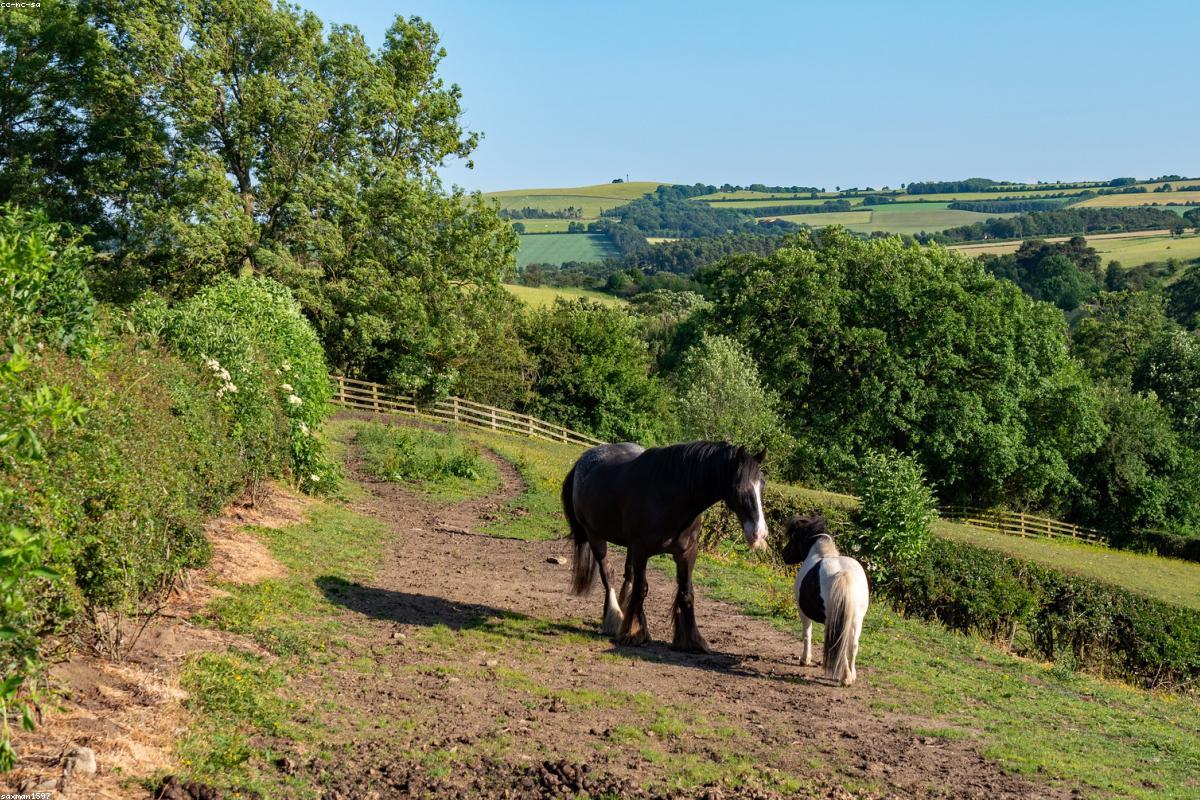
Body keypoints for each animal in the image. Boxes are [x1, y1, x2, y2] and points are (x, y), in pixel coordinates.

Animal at [561, 442, 768, 652]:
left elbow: (686, 593)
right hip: (595, 536)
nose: (759, 534)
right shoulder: (641, 550)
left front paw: (692, 640)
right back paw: (615, 618)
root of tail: (583, 460)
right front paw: (634, 634)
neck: (669, 496)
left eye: (762, 485)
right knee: (608, 574)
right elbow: (641, 589)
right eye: (738, 487)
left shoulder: (687, 553)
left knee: (628, 575)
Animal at [780, 514, 869, 686]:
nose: (783, 554)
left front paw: (805, 660)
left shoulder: (803, 612)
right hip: (856, 620)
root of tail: (843, 574)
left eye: (794, 537)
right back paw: (851, 675)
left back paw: (845, 678)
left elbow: (807, 634)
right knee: (853, 645)